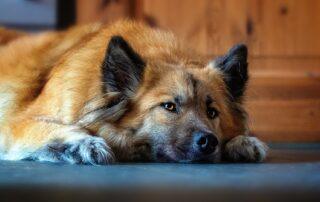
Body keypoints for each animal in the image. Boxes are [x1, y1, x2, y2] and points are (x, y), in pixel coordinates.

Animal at [0, 20, 268, 164]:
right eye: (169, 106)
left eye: (212, 112)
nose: (209, 142)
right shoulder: (16, 123)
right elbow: (51, 127)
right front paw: (84, 142)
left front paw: (241, 141)